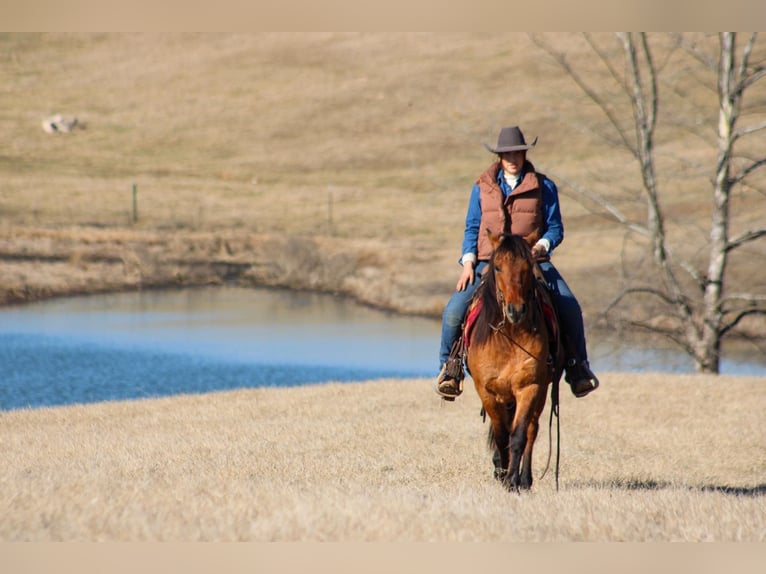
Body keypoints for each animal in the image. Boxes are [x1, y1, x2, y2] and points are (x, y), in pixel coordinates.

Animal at [462, 230, 564, 490]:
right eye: (497, 267)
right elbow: (501, 436)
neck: (509, 336)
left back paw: (524, 479)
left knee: (531, 430)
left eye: (527, 266)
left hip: (540, 392)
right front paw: (502, 473)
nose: (515, 310)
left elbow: (518, 435)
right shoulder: (487, 391)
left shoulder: (529, 387)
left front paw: (511, 481)